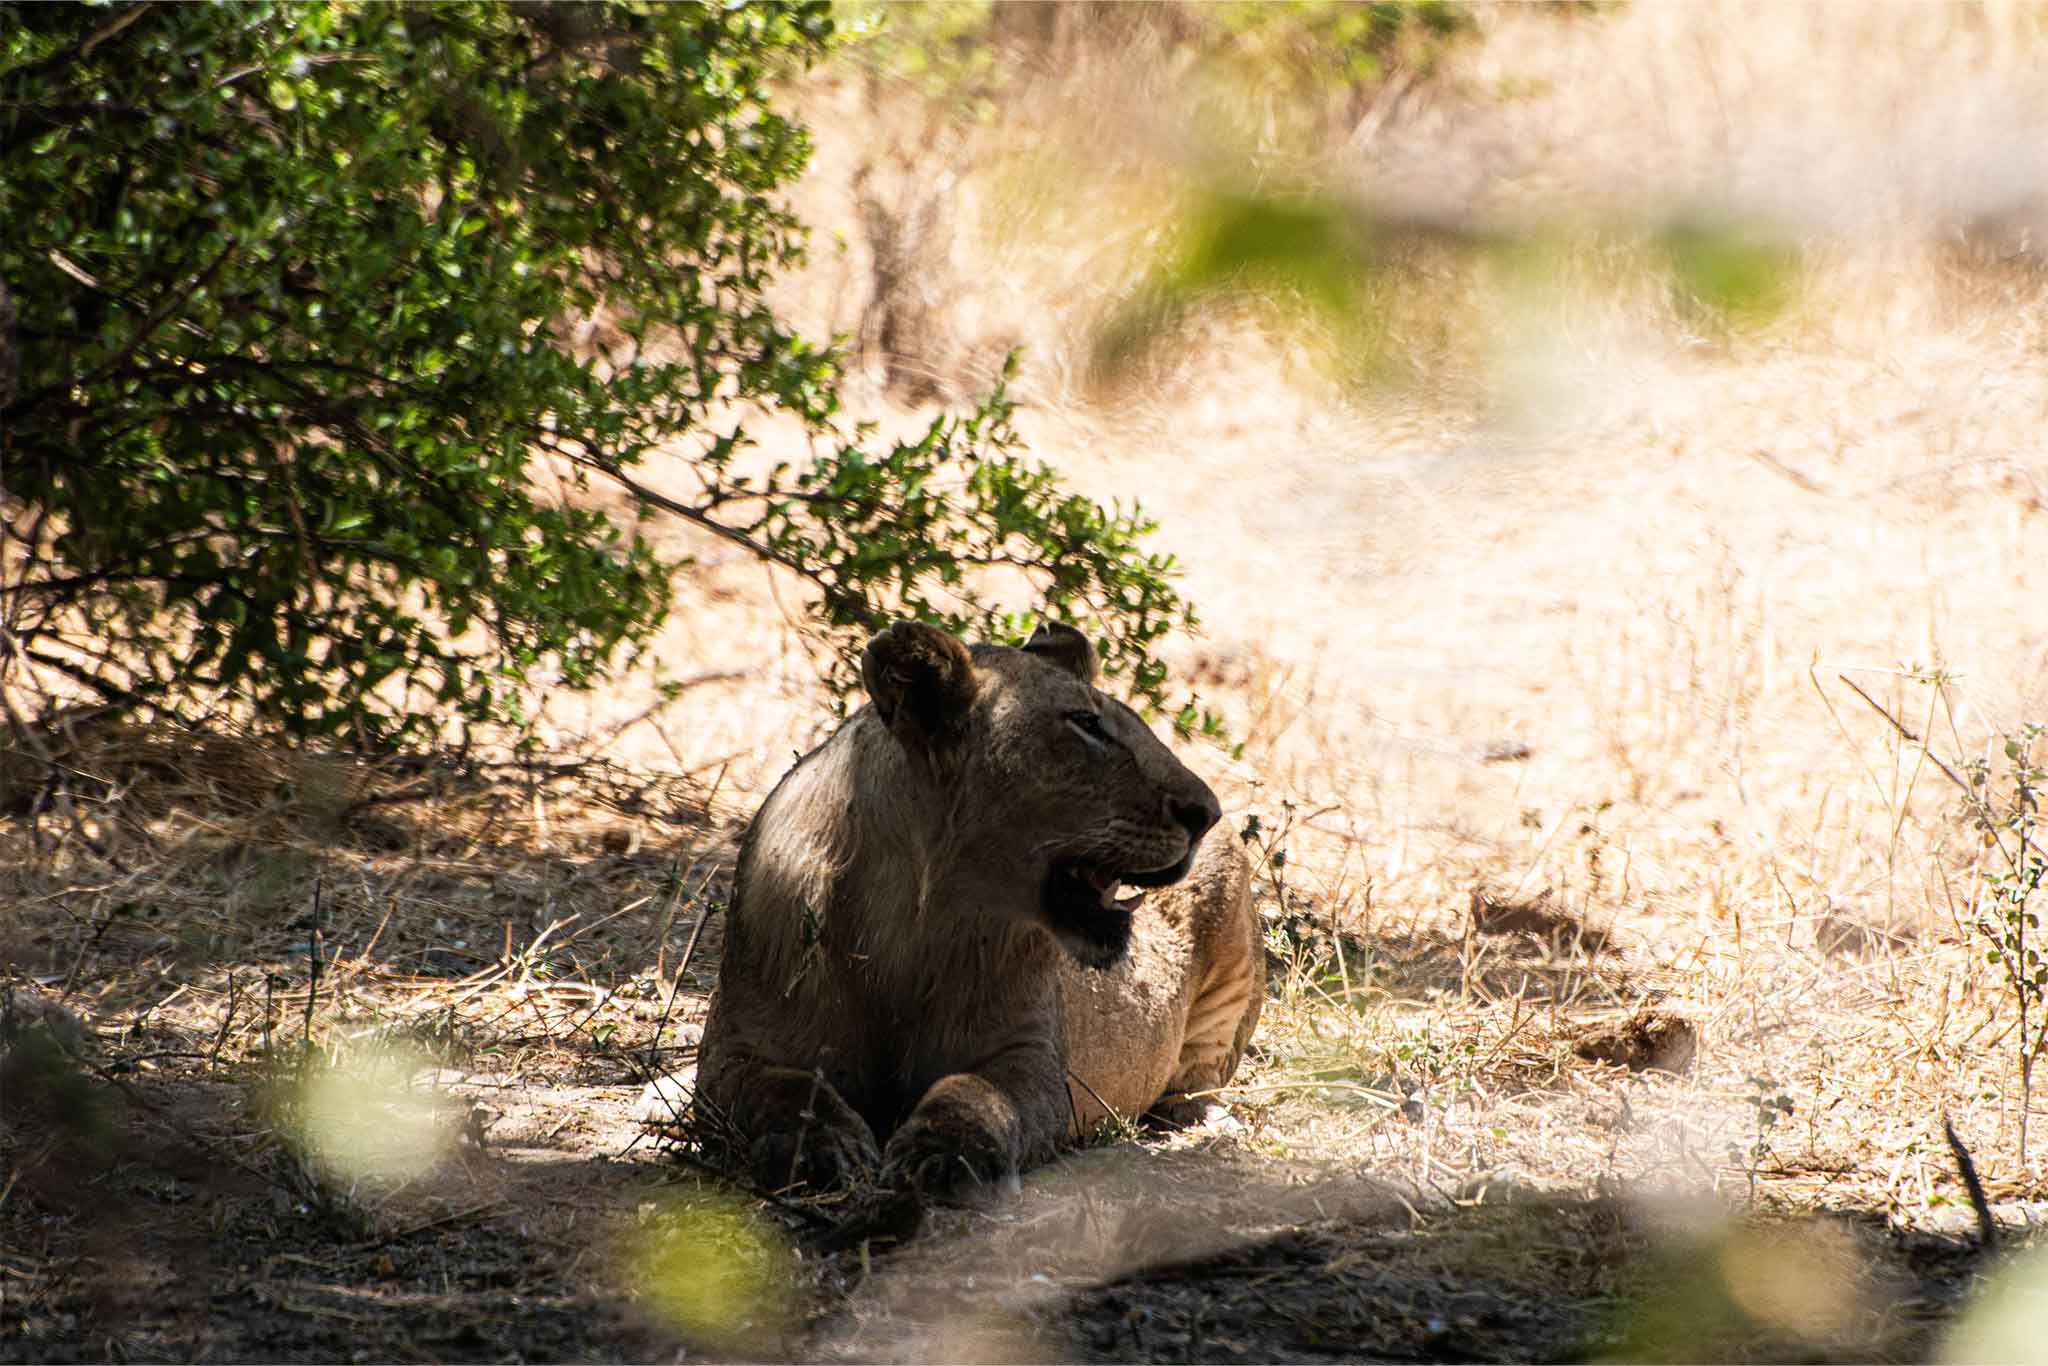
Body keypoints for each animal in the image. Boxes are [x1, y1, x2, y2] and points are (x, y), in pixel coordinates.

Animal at [690, 620, 1262, 1202]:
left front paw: (942, 1153)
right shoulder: (733, 1052)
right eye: (1086, 725)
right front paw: (823, 1147)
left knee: (1198, 1077)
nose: (1207, 812)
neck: (907, 923)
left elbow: (975, 1092)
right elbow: (788, 1090)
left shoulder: (1035, 1058)